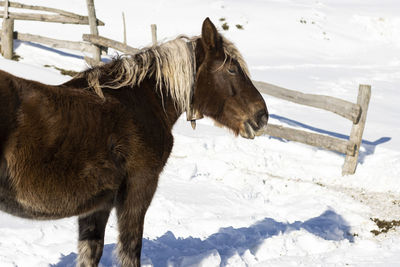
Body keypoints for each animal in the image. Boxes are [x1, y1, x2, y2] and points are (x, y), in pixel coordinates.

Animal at [0, 17, 268, 266]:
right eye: (232, 69)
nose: (262, 115)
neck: (141, 103)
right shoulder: (139, 187)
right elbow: (130, 249)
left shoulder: (98, 204)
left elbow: (91, 252)